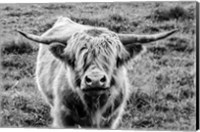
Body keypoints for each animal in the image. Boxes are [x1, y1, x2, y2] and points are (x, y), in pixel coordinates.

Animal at [17, 16, 177, 128]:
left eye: (113, 58)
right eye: (78, 57)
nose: (95, 80)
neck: (93, 106)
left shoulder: (112, 118)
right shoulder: (64, 116)